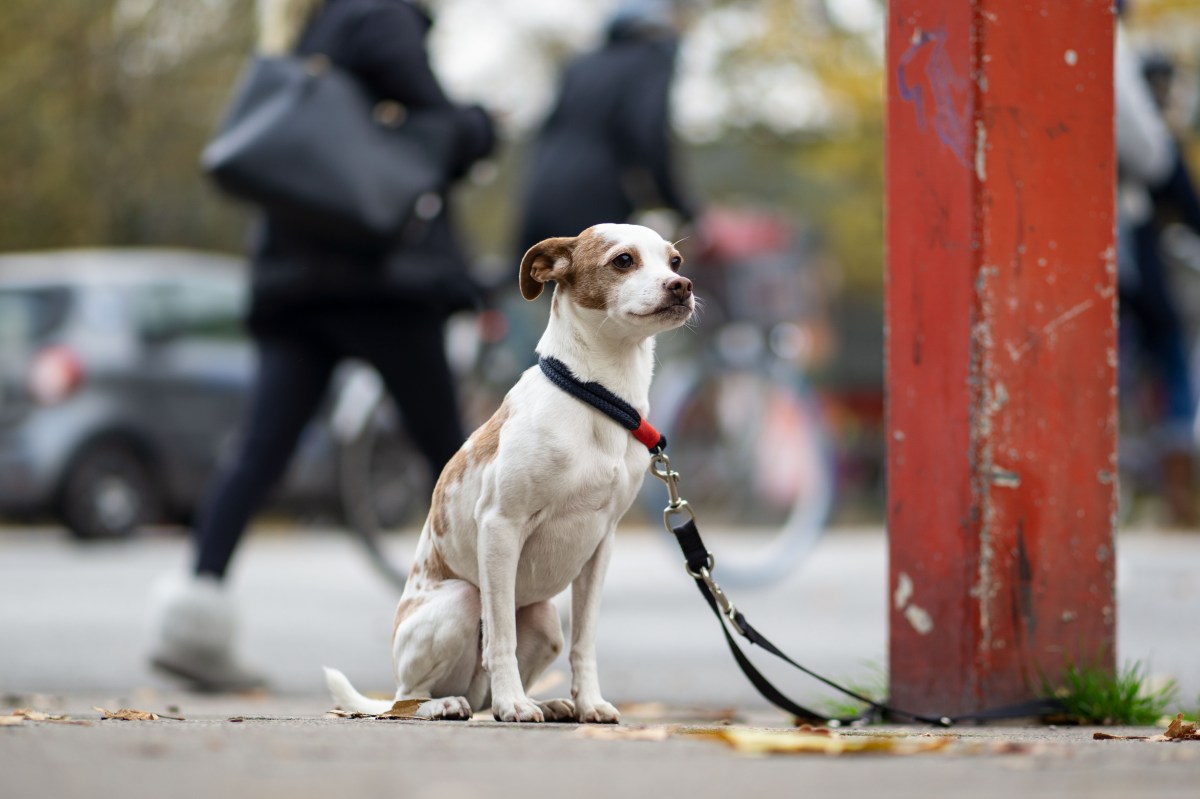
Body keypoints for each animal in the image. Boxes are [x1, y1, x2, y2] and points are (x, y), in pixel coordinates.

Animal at [324, 220, 696, 719]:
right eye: (623, 260)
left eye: (674, 261)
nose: (682, 285)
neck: (597, 398)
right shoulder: (501, 526)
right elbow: (500, 637)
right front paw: (513, 704)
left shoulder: (601, 544)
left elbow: (585, 641)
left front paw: (589, 702)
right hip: (460, 602)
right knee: (410, 694)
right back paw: (450, 705)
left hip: (543, 617)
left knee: (487, 691)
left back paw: (545, 702)